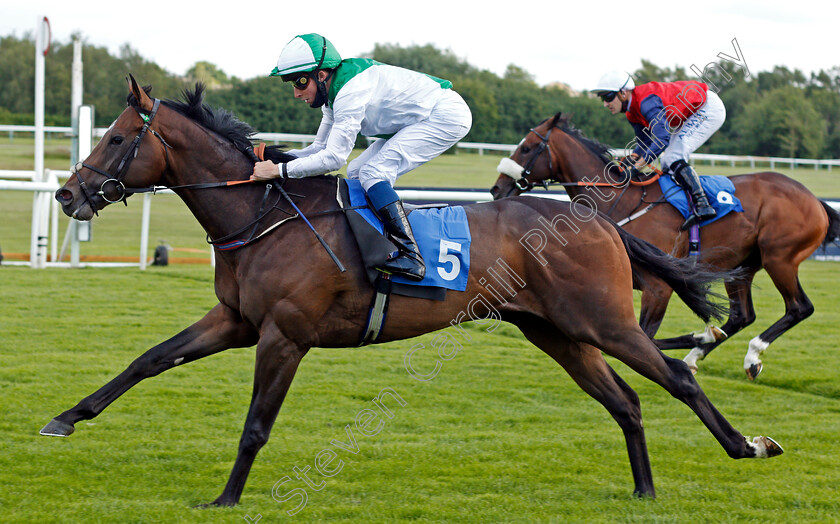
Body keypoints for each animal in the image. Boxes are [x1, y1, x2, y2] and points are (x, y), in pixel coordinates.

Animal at [42, 79, 784, 508]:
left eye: (115, 138)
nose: (66, 195)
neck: (262, 216)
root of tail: (599, 220)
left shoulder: (284, 335)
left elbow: (256, 424)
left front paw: (225, 499)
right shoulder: (236, 320)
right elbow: (149, 359)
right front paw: (66, 418)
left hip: (602, 321)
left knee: (676, 380)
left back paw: (747, 445)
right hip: (557, 332)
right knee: (625, 401)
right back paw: (644, 488)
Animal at [492, 112, 840, 378]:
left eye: (527, 148)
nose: (498, 188)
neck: (621, 200)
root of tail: (815, 200)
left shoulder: (659, 287)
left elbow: (647, 337)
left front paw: (702, 335)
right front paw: (703, 336)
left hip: (780, 258)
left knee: (799, 307)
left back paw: (752, 356)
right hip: (741, 266)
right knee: (742, 316)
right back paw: (698, 355)